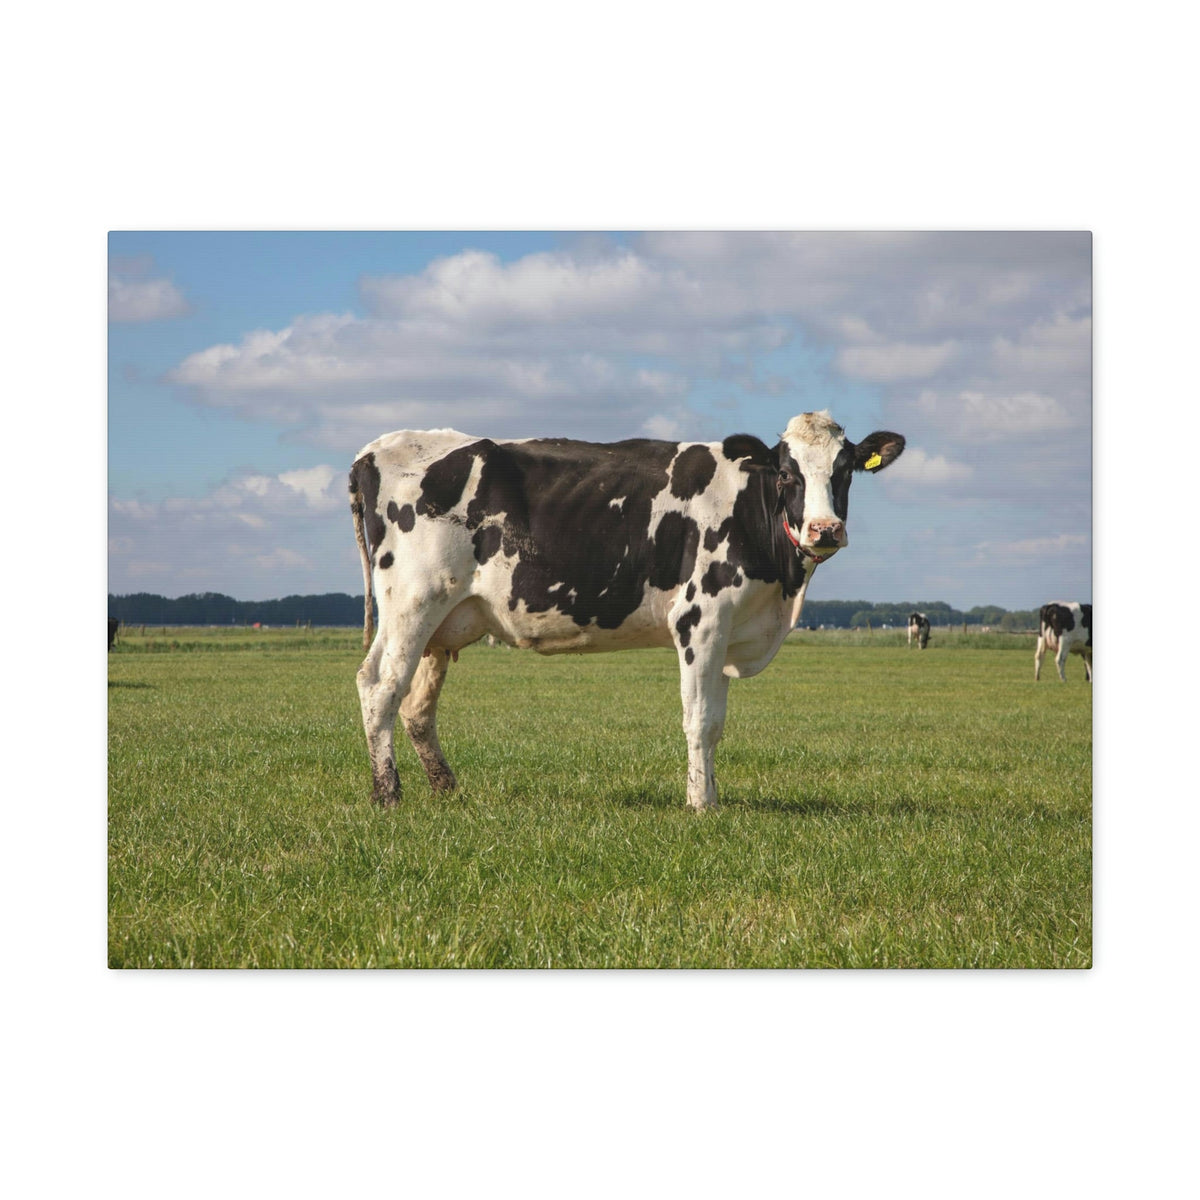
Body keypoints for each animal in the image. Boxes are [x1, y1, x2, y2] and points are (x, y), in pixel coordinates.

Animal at [349, 411, 905, 810]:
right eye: (787, 474)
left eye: (845, 471)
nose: (825, 529)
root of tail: (375, 450)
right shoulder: (700, 620)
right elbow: (700, 719)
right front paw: (701, 804)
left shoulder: (728, 629)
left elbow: (718, 721)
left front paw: (711, 795)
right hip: (412, 602)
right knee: (379, 685)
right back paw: (387, 794)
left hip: (441, 622)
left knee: (418, 706)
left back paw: (445, 787)